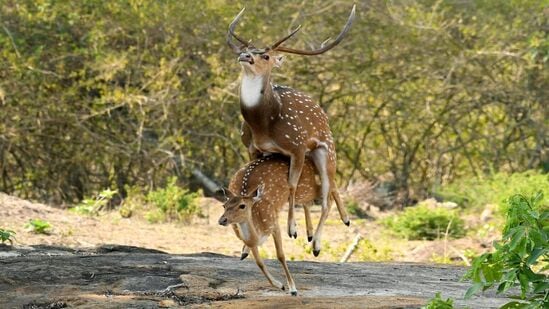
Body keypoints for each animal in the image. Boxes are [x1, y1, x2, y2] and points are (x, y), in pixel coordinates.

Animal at [227, 5, 356, 255]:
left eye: (265, 56)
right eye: (247, 50)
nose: (245, 56)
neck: (263, 125)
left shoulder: (296, 146)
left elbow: (292, 184)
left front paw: (291, 229)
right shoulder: (252, 148)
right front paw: (247, 246)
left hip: (327, 150)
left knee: (326, 195)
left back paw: (318, 243)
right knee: (327, 191)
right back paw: (323, 228)